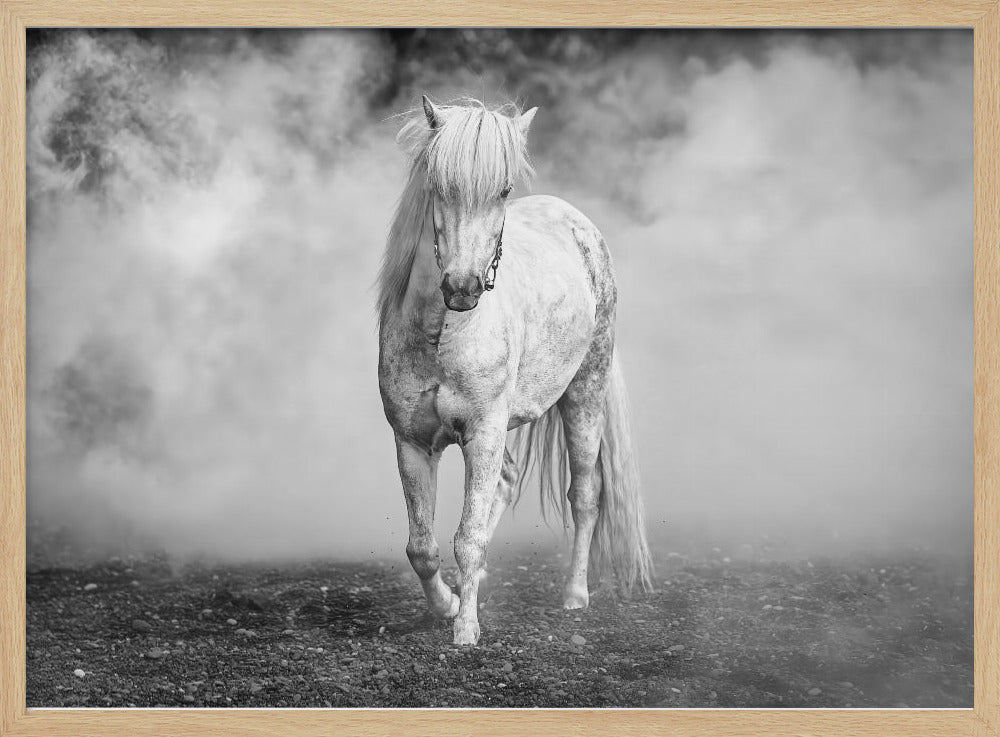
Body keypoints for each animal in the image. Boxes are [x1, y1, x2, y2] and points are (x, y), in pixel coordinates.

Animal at [377, 96, 653, 646]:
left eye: (503, 190)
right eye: (439, 186)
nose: (462, 288)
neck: (442, 333)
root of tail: (580, 225)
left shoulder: (482, 431)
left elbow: (468, 537)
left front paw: (465, 630)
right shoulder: (412, 441)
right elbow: (423, 547)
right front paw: (448, 604)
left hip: (584, 396)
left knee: (585, 495)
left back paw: (575, 596)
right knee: (504, 483)